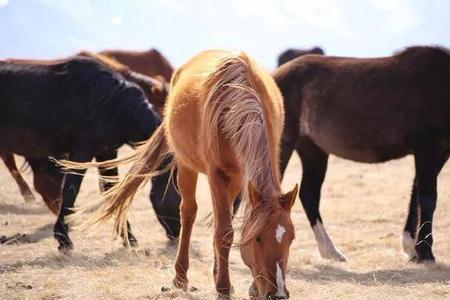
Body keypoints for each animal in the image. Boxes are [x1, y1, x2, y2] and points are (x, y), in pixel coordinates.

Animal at [1, 56, 181, 251]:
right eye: (180, 195)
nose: (177, 235)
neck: (114, 105)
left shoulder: (107, 153)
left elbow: (112, 191)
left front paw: (129, 239)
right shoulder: (82, 153)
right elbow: (70, 192)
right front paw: (63, 240)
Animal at [65, 50, 298, 298]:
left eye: (291, 238)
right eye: (258, 239)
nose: (278, 293)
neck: (237, 102)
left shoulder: (240, 175)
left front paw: (246, 285)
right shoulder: (216, 174)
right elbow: (224, 231)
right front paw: (223, 287)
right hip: (187, 167)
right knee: (188, 213)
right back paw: (180, 277)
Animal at [272, 45, 450, 262]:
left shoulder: (440, 153)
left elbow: (416, 193)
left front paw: (411, 247)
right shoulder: (427, 150)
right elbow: (427, 197)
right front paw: (424, 252)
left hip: (313, 150)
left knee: (309, 194)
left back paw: (330, 251)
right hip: (284, 144)